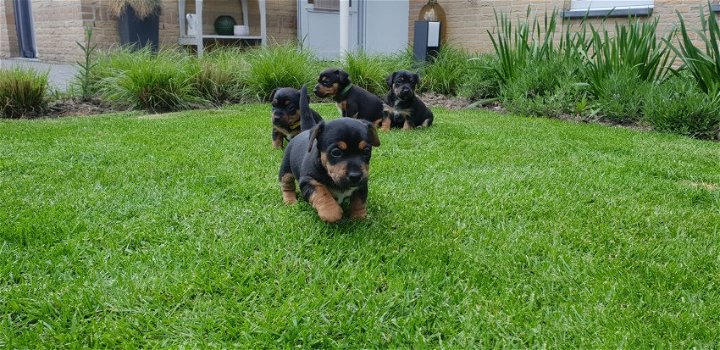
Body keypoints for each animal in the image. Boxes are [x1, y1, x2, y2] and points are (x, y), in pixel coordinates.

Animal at [280, 84, 382, 224]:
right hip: (286, 171)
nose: (355, 176)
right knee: (286, 185)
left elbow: (359, 201)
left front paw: (359, 218)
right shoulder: (308, 180)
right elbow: (321, 192)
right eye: (336, 152)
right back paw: (290, 201)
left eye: (366, 151)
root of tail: (306, 130)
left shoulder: (361, 184)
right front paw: (331, 212)